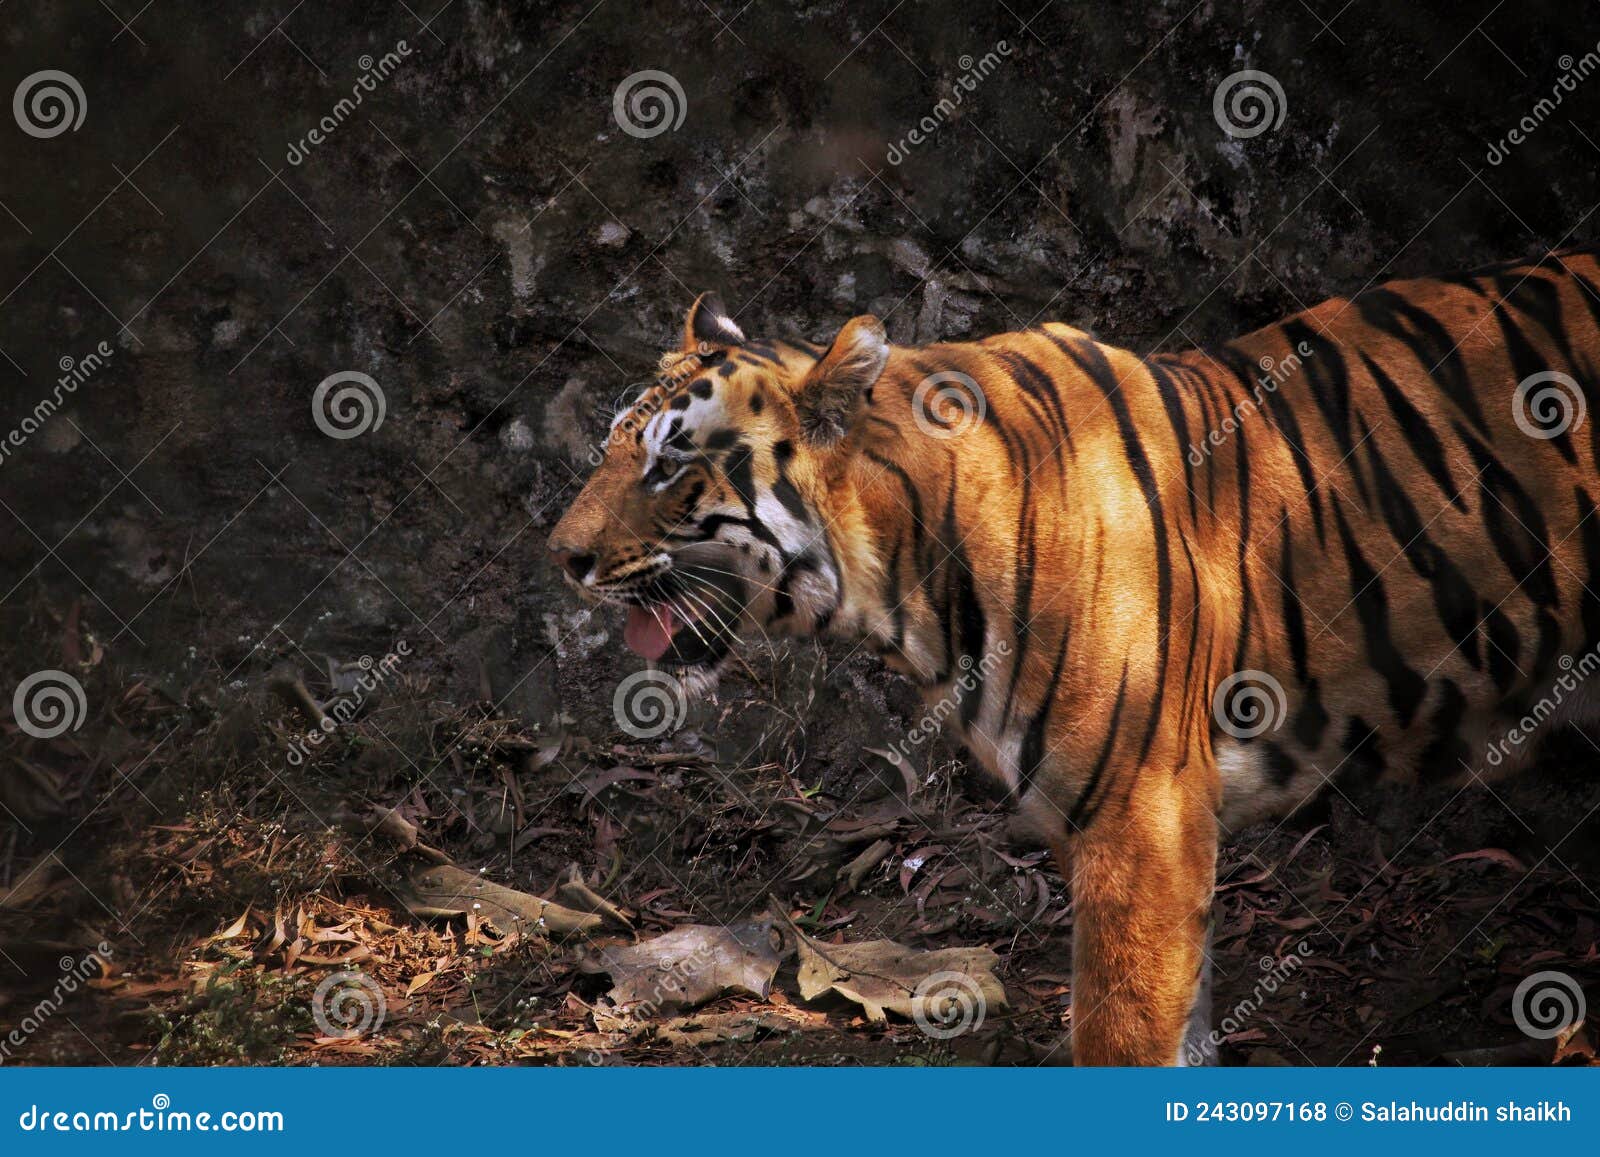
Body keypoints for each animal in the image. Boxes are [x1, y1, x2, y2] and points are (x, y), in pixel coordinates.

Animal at [547, 245, 1600, 1065]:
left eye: (669, 464)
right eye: (612, 448)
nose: (562, 557)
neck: (909, 575)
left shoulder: (1141, 818)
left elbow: (1125, 1034)